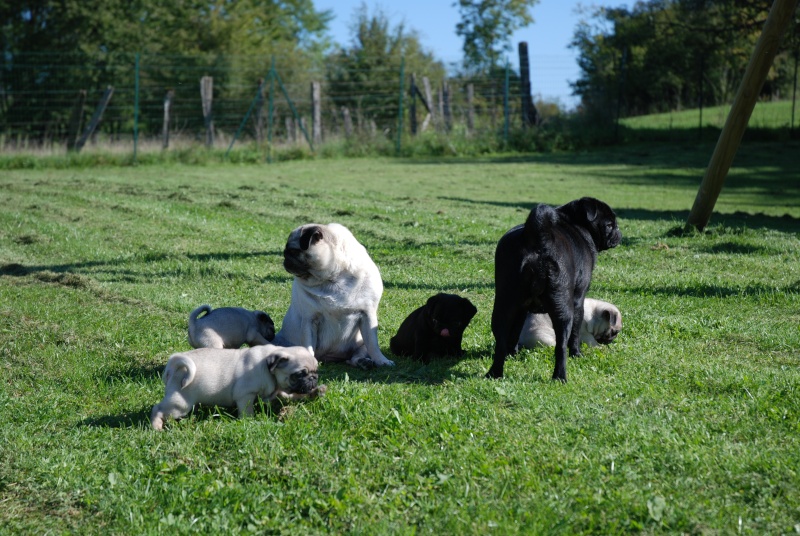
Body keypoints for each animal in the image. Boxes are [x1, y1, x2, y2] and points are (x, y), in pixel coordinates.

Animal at [484, 197, 620, 382]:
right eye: (610, 225)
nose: (618, 232)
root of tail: (537, 238)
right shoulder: (579, 300)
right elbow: (575, 334)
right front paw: (577, 353)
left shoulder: (521, 309)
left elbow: (515, 332)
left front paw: (513, 354)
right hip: (563, 308)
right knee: (561, 345)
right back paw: (560, 377)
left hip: (504, 304)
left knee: (501, 341)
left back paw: (495, 373)